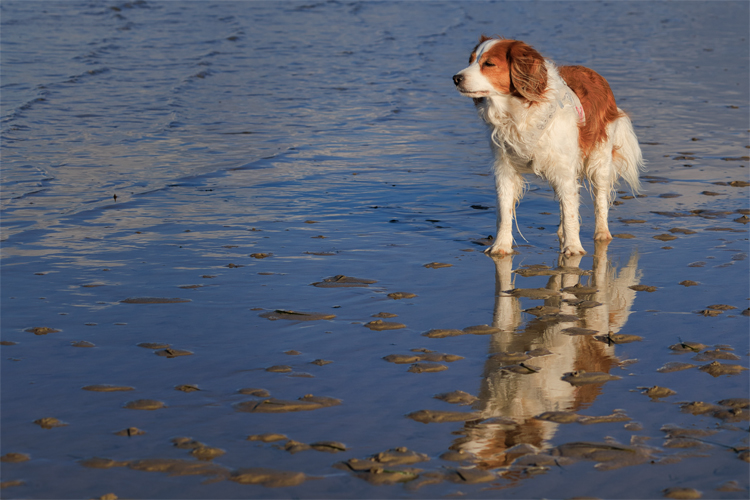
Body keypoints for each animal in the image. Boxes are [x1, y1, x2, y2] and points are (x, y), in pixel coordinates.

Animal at [456, 36, 644, 254]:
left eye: (489, 64)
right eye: (470, 60)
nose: (456, 78)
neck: (518, 113)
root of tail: (597, 76)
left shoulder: (564, 169)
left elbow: (571, 210)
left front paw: (573, 248)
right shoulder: (505, 169)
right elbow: (504, 211)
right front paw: (500, 246)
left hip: (599, 160)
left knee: (600, 200)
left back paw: (601, 234)